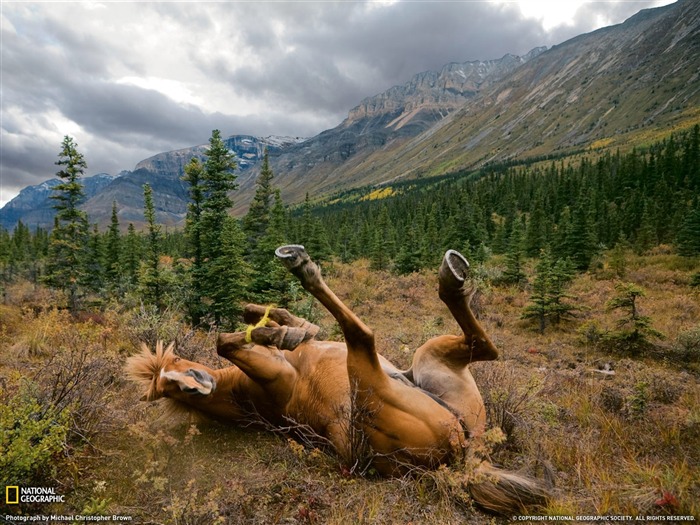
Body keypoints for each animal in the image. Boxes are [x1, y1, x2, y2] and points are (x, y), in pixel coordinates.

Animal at [127, 246, 552, 512]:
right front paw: (274, 332)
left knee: (483, 346)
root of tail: (461, 458)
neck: (247, 396)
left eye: (175, 364)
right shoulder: (275, 374)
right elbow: (225, 342)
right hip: (372, 379)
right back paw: (303, 265)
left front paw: (281, 326)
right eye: (172, 390)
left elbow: (275, 320)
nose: (194, 383)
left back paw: (452, 274)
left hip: (431, 362)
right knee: (363, 334)